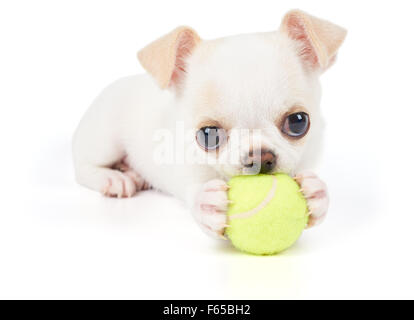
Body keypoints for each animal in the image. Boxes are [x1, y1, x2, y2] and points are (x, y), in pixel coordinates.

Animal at [72, 10, 346, 239]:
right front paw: (205, 203)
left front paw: (318, 193)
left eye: (298, 122)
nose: (260, 156)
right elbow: (192, 186)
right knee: (82, 166)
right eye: (208, 135)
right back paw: (112, 178)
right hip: (105, 139)